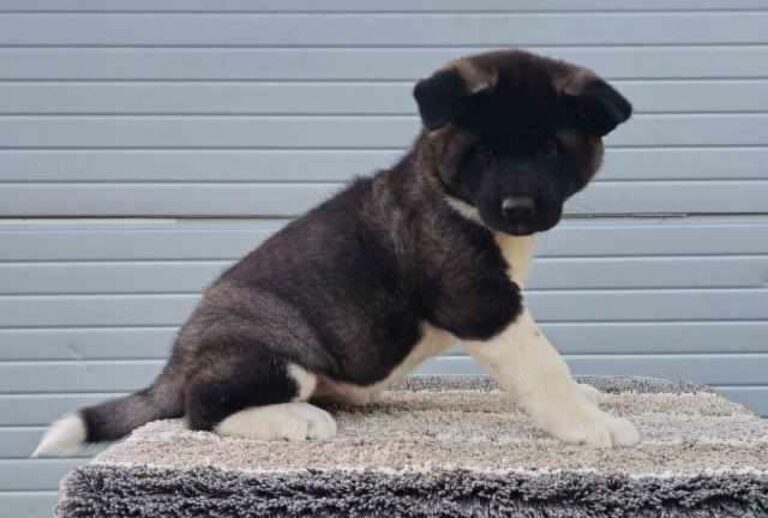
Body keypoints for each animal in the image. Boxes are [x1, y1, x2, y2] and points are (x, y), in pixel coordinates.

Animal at [34, 49, 638, 456]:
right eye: (484, 153)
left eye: (550, 150)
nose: (518, 207)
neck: (453, 195)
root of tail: (177, 362)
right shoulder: (480, 302)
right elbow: (543, 365)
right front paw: (591, 425)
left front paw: (587, 402)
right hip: (273, 356)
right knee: (200, 410)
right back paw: (290, 419)